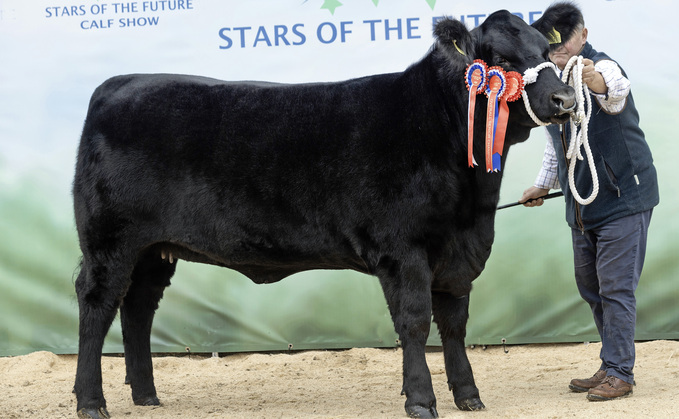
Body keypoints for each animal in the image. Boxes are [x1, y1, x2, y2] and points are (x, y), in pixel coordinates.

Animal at [73, 9, 572, 419]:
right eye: (501, 60)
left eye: (547, 50)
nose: (566, 99)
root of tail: (117, 84)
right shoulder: (403, 249)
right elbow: (414, 321)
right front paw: (420, 400)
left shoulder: (458, 251)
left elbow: (454, 323)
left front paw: (468, 395)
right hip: (109, 239)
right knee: (97, 304)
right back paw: (91, 402)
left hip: (153, 249)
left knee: (138, 309)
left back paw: (146, 395)